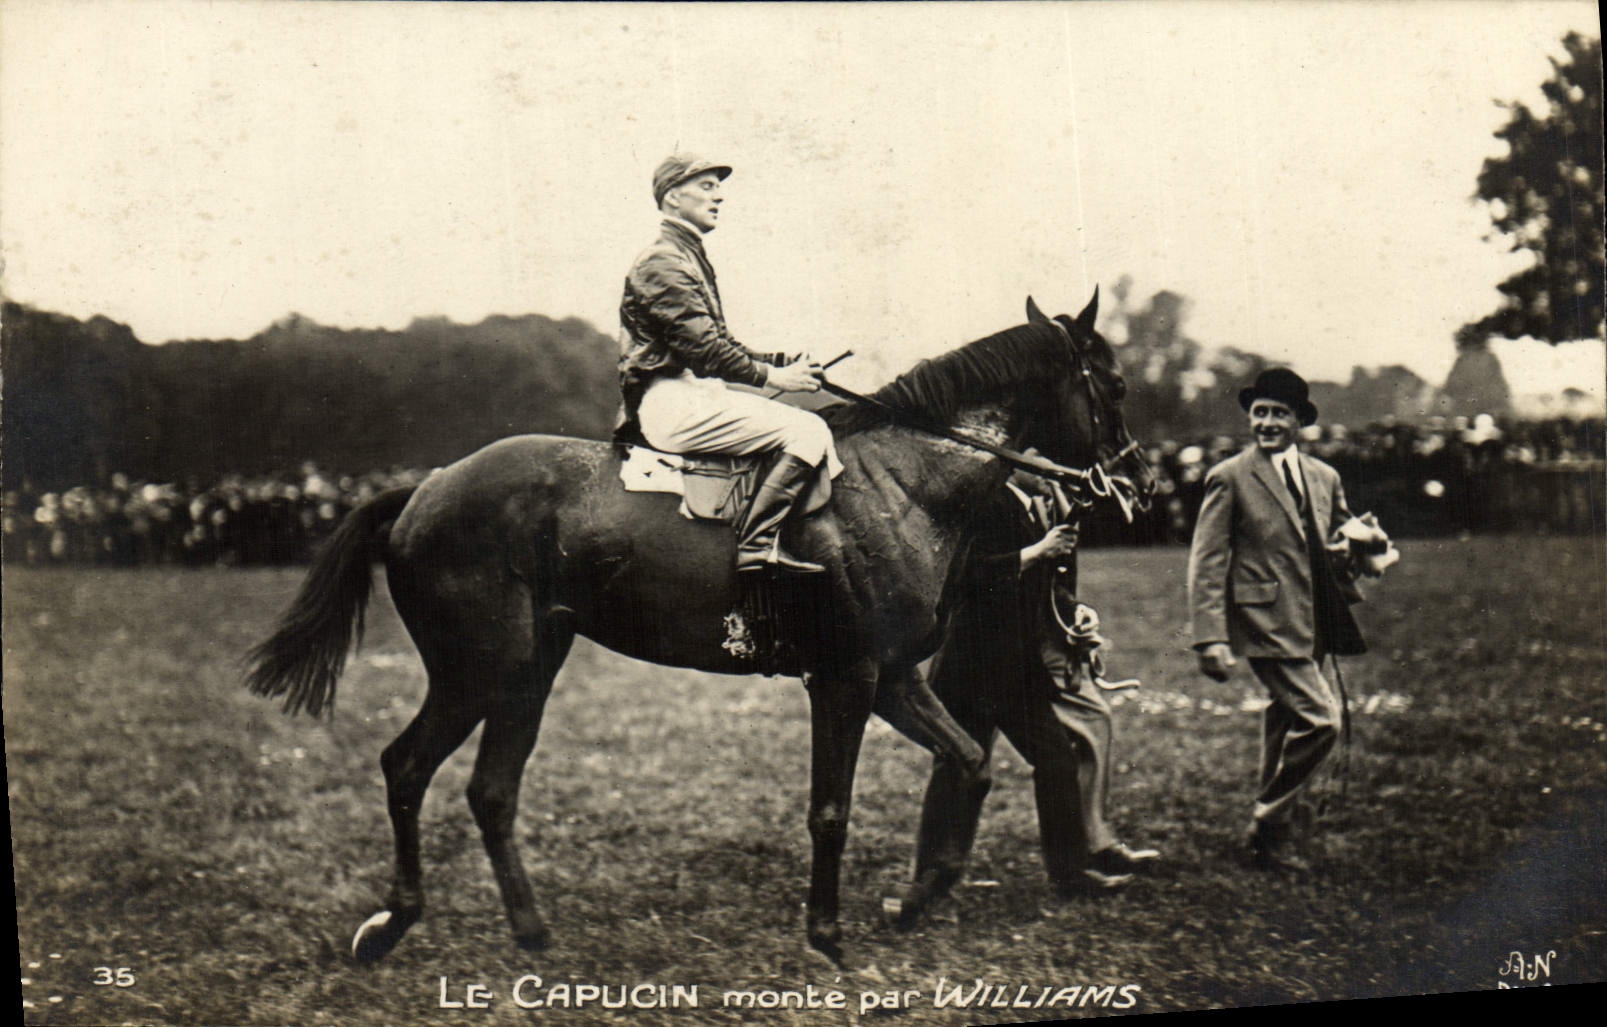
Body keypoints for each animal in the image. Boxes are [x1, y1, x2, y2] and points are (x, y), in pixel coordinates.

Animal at [246, 289, 1151, 964]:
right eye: (1111, 383)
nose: (1137, 478)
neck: (902, 483)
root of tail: (426, 486)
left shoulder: (892, 676)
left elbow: (968, 761)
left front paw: (914, 899)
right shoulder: (848, 678)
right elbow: (830, 808)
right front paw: (826, 933)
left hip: (528, 672)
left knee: (489, 789)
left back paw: (532, 933)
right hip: (479, 671)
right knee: (406, 767)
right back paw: (394, 922)